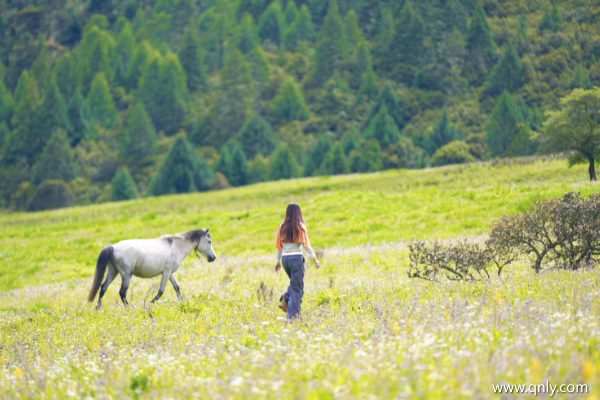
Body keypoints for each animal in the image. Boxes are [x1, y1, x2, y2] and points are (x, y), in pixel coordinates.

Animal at [88, 228, 217, 306]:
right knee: (122, 292)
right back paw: (129, 308)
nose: (213, 258)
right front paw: (150, 303)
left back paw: (98, 308)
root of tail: (113, 247)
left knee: (103, 288)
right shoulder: (166, 272)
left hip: (113, 272)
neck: (175, 247)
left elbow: (177, 288)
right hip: (126, 275)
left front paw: (182, 302)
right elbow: (161, 291)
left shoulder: (170, 273)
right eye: (209, 241)